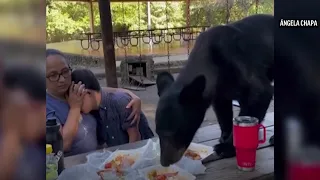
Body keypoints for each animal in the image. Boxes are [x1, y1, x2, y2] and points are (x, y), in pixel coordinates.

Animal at [156, 14, 274, 167]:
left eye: (176, 132)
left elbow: (261, 92)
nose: (165, 162)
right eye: (157, 133)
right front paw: (224, 136)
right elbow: (223, 110)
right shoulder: (220, 91)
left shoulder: (238, 59)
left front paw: (227, 147)